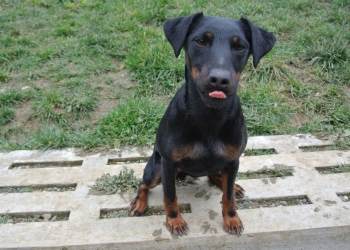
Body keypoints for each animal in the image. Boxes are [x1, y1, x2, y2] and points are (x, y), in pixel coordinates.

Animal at [129, 13, 276, 236]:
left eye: (240, 47)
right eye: (200, 41)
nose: (219, 80)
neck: (209, 115)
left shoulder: (233, 161)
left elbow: (227, 197)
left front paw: (231, 218)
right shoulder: (168, 164)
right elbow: (169, 196)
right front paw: (174, 221)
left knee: (217, 178)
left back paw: (232, 186)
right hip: (155, 170)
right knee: (143, 184)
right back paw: (139, 202)